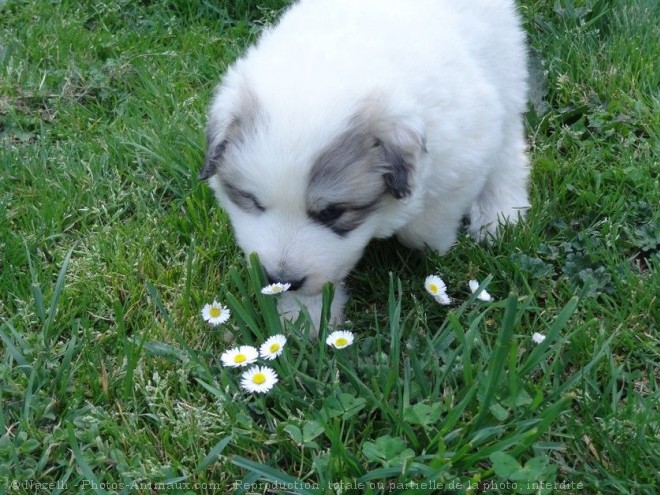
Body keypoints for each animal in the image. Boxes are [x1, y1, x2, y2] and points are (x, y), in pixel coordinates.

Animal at [199, 0, 528, 338]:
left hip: (506, 65)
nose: (283, 279)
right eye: (252, 201)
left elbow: (423, 227)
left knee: (508, 146)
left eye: (332, 212)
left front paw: (436, 243)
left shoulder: (465, 148)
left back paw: (498, 212)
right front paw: (305, 317)